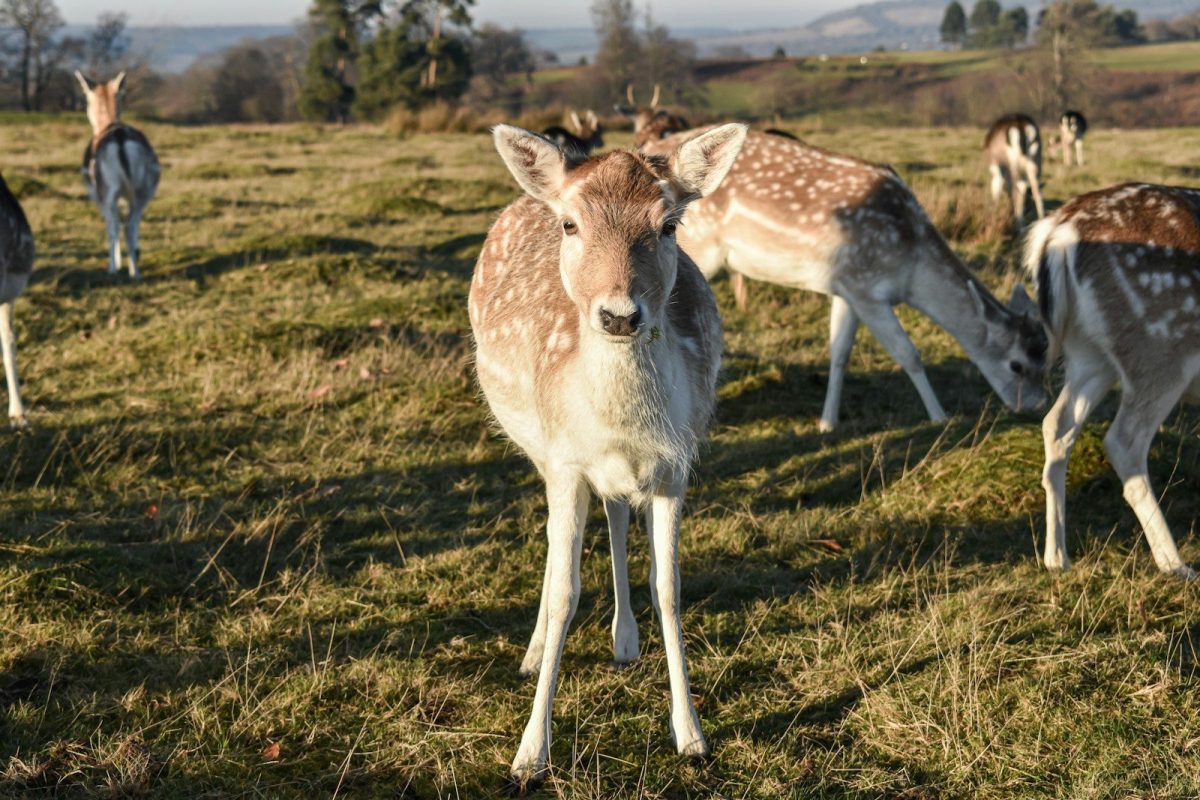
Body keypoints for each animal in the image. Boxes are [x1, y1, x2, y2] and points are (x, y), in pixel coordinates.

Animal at [75, 71, 161, 280]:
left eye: (86, 98)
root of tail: (120, 139)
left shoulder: (97, 196)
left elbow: (110, 225)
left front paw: (116, 264)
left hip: (107, 188)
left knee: (118, 225)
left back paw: (117, 271)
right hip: (145, 189)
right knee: (131, 224)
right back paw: (136, 269)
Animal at [470, 122, 746, 784]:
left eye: (669, 224)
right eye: (571, 225)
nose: (620, 316)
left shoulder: (675, 465)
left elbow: (668, 588)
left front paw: (691, 736)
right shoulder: (566, 461)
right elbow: (566, 591)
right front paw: (529, 755)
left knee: (618, 510)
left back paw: (625, 641)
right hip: (538, 448)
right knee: (556, 545)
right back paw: (534, 651)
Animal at [630, 121, 1048, 431]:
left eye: (1046, 357)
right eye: (1017, 364)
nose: (1035, 406)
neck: (910, 264)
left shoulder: (844, 287)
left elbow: (839, 352)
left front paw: (827, 422)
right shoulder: (866, 287)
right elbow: (908, 353)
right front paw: (940, 416)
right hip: (697, 250)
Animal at [1025, 182, 1200, 579]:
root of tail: (1057, 230)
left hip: (1088, 352)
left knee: (1056, 424)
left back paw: (1057, 556)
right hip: (1161, 351)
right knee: (1124, 441)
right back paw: (1175, 564)